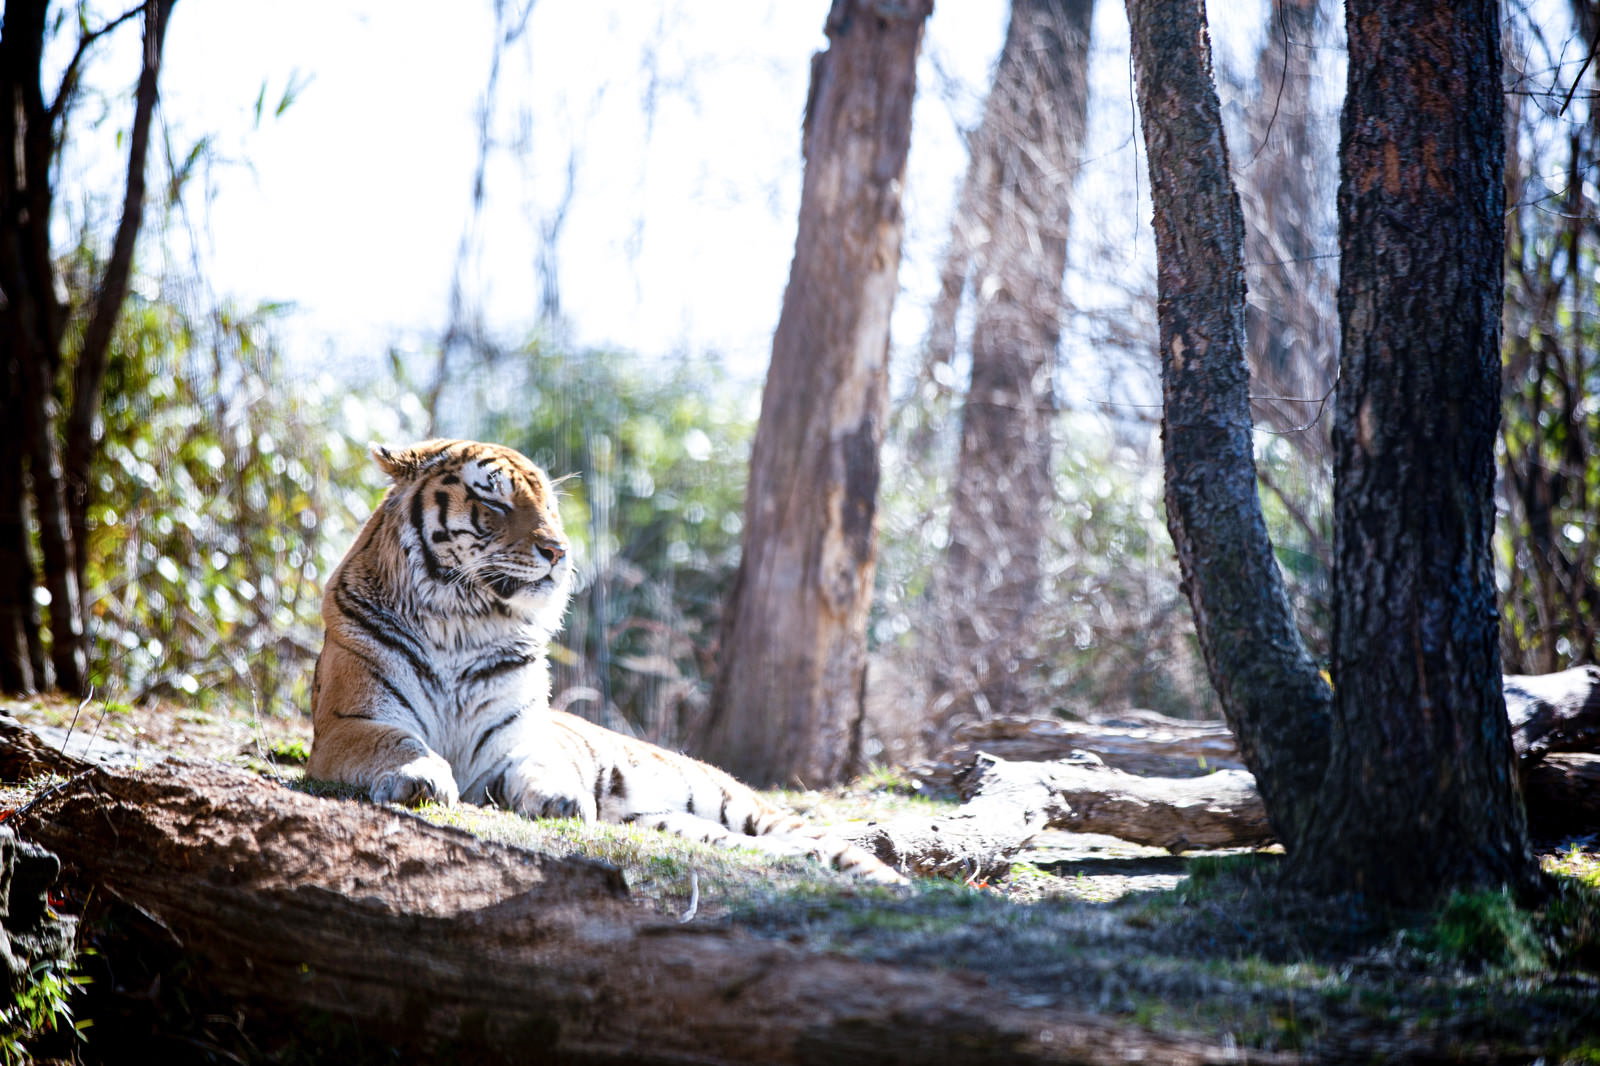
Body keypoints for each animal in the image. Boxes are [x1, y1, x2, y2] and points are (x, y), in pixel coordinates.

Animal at [307, 438, 907, 885]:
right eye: (495, 504)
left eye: (549, 506)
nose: (559, 551)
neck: (463, 623)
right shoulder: (351, 723)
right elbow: (398, 742)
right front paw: (421, 777)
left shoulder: (515, 743)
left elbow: (540, 764)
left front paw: (559, 797)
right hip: (671, 823)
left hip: (737, 804)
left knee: (838, 849)